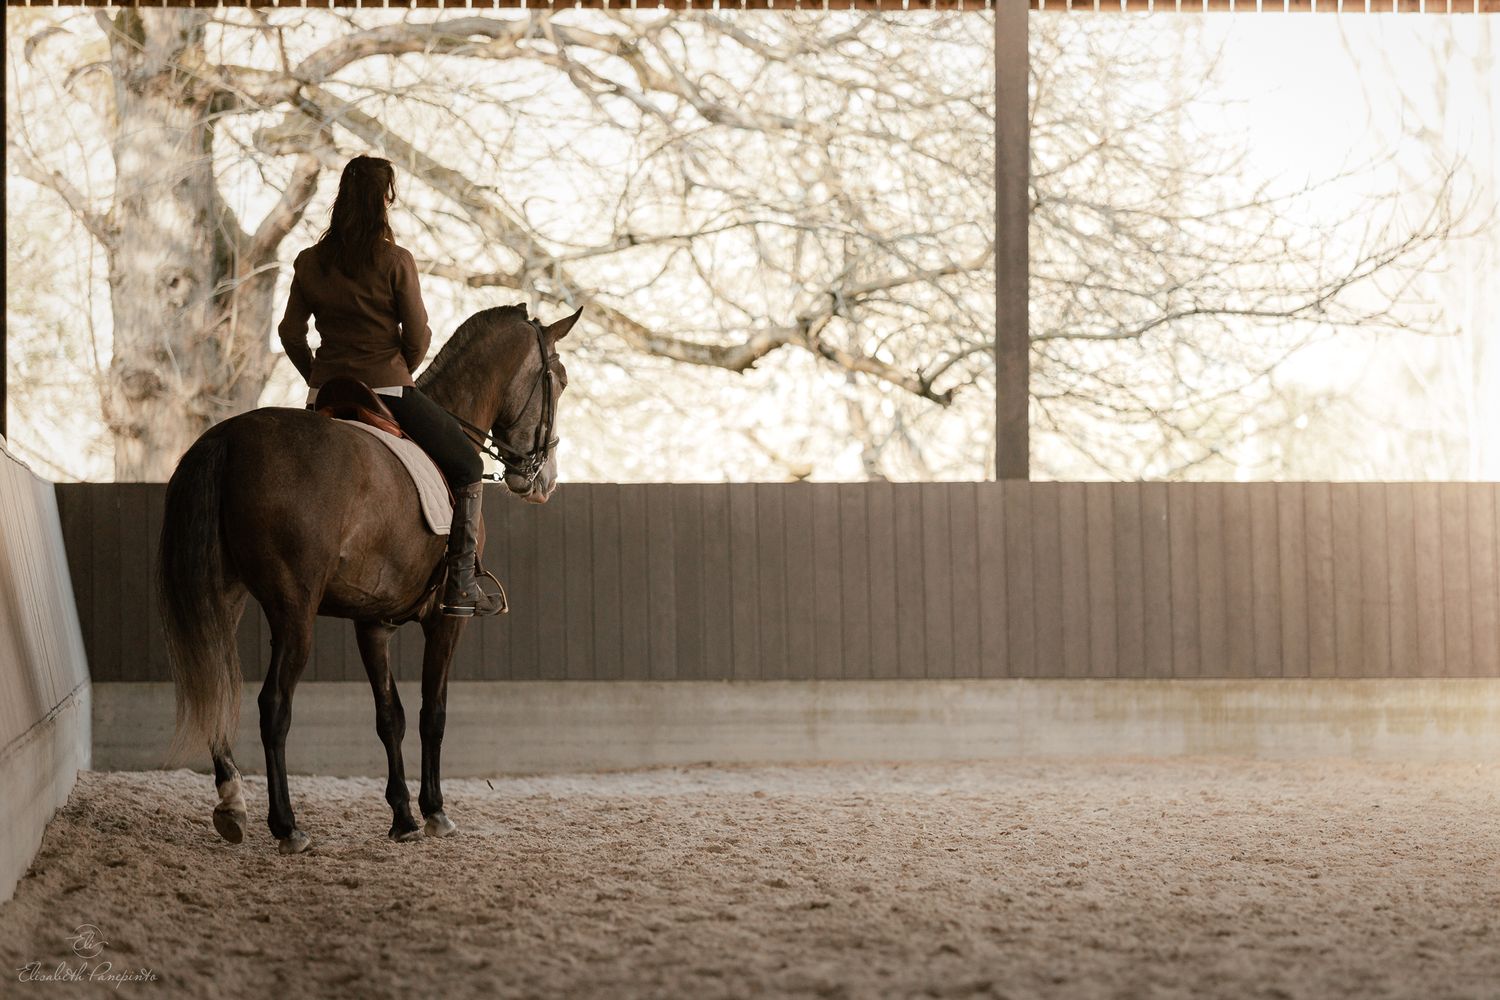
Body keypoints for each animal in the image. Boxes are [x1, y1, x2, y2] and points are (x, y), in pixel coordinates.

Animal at [158, 303, 579, 854]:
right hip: (294, 610)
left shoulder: (373, 623)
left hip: (225, 597)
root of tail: (228, 438)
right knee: (273, 706)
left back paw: (232, 806)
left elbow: (388, 717)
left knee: (220, 682)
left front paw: (402, 816)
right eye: (562, 381)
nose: (543, 481)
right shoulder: (447, 621)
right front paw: (435, 812)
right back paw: (287, 825)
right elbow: (431, 714)